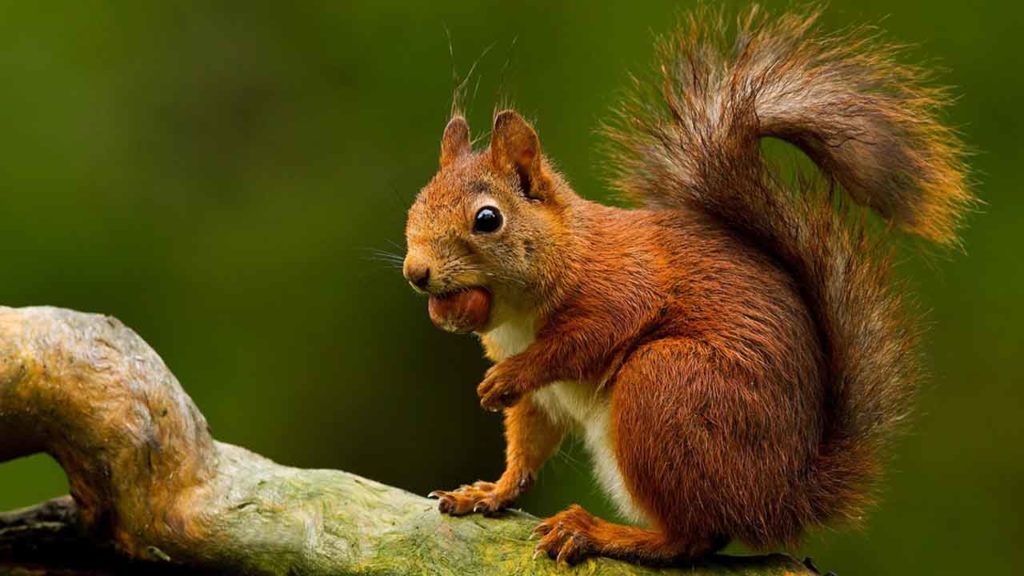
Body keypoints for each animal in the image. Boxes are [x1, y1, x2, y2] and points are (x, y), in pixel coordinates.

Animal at [399, 6, 966, 565]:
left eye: (487, 219)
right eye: (416, 204)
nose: (415, 272)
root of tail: (785, 498)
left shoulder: (621, 286)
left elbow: (582, 340)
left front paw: (508, 378)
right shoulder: (542, 400)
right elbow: (526, 445)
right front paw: (489, 492)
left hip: (665, 386)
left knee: (692, 538)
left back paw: (597, 532)